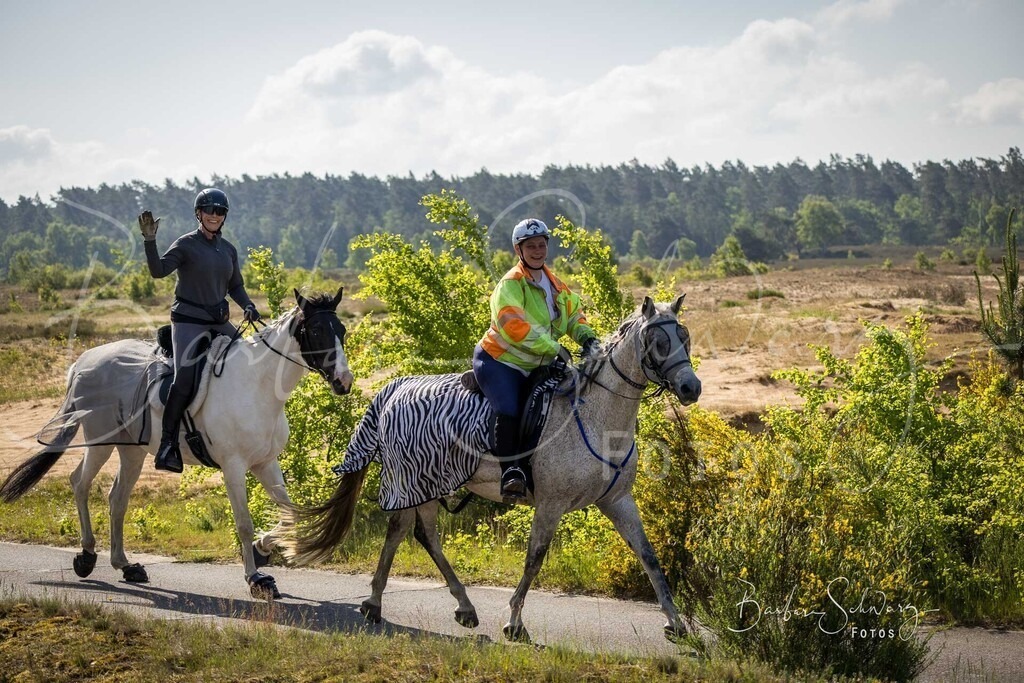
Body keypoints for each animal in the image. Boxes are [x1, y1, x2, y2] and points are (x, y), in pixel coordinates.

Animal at [0, 287, 353, 599]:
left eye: (342, 330)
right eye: (317, 330)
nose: (344, 381)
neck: (258, 385)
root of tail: (83, 362)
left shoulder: (265, 462)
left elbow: (289, 515)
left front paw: (262, 551)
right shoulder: (234, 467)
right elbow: (244, 523)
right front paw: (256, 579)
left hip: (132, 450)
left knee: (117, 499)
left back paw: (126, 565)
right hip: (101, 441)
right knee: (80, 483)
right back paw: (86, 556)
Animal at [284, 295, 701, 642]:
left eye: (685, 336)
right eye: (659, 342)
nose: (691, 388)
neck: (595, 416)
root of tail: (394, 389)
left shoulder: (618, 500)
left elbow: (649, 556)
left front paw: (676, 623)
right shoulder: (551, 504)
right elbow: (535, 558)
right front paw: (514, 622)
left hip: (426, 483)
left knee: (411, 532)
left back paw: (420, 605)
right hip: (414, 480)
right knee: (412, 533)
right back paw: (408, 605)